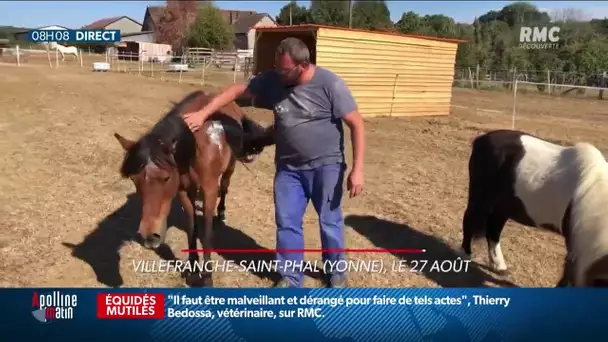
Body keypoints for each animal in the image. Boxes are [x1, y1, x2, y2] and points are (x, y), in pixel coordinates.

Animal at [114, 90, 274, 286]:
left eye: (166, 177)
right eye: (134, 179)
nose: (149, 237)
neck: (195, 146)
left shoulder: (209, 191)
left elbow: (206, 232)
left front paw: (207, 276)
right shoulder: (183, 191)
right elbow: (192, 227)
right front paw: (192, 269)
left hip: (230, 166)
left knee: (225, 187)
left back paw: (221, 212)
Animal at [460, 130, 608, 288]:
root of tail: (481, 139)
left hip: (502, 206)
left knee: (494, 230)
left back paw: (499, 266)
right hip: (480, 198)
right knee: (469, 221)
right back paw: (465, 257)